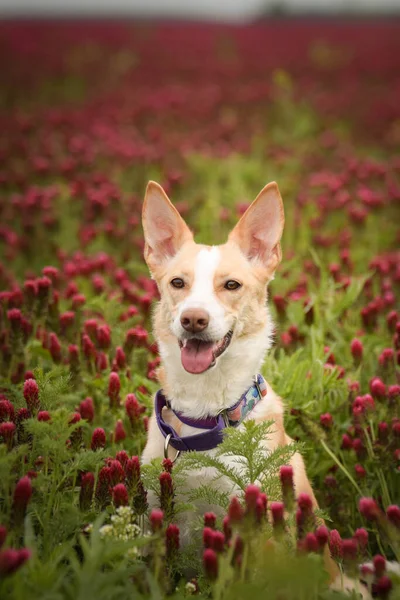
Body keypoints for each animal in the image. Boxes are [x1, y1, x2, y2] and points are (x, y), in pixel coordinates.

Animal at [141, 182, 368, 596]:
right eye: (178, 283)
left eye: (231, 285)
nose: (193, 319)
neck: (206, 415)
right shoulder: (157, 512)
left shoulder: (257, 529)